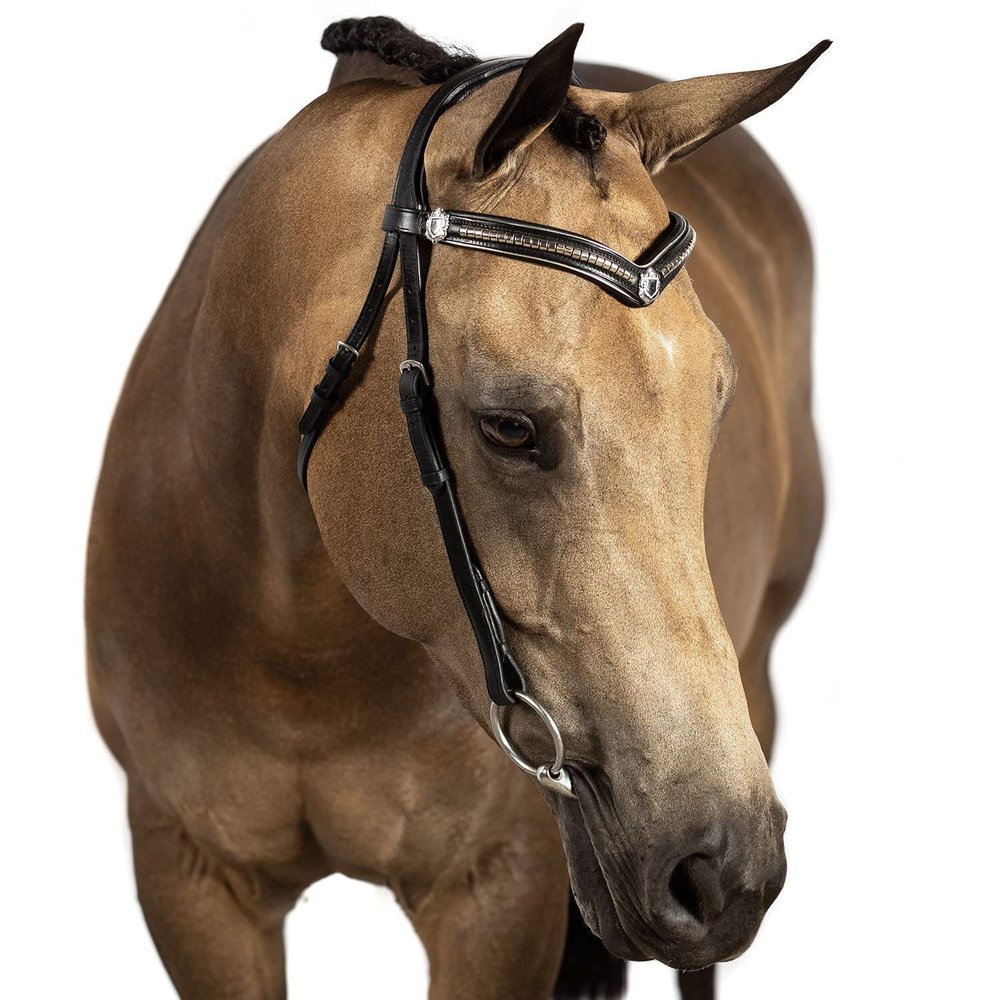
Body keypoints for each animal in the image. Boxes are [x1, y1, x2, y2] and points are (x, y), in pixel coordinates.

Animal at [86, 17, 826, 999]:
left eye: (718, 399)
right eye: (509, 427)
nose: (721, 868)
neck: (296, 650)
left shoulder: (496, 895)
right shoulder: (192, 878)